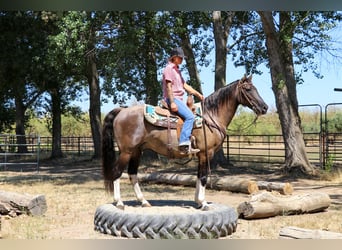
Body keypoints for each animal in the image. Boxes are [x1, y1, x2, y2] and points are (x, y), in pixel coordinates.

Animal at [101, 74, 268, 211]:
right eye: (248, 89)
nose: (264, 107)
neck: (210, 116)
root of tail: (122, 111)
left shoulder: (201, 154)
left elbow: (199, 176)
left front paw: (198, 202)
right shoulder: (206, 153)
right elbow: (203, 177)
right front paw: (204, 203)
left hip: (136, 151)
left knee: (132, 174)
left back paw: (143, 201)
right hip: (126, 151)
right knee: (117, 172)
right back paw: (119, 203)